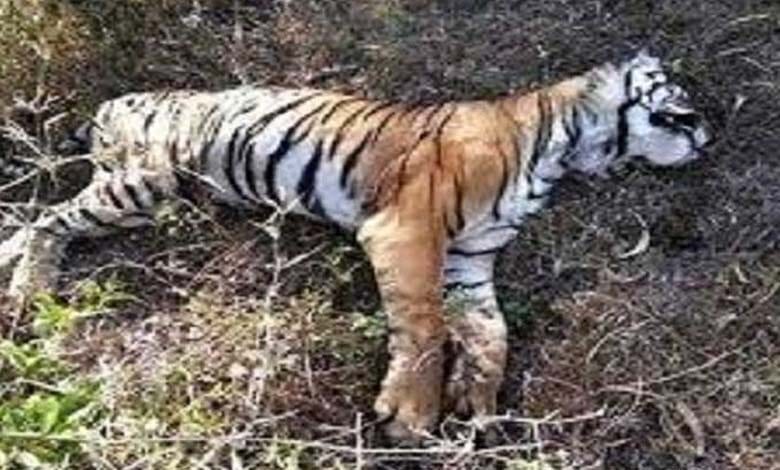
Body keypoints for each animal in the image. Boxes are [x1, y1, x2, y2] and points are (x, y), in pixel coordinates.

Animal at [0, 50, 711, 441]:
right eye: (680, 93)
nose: (707, 133)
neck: (567, 146)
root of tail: (117, 101)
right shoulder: (410, 229)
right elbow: (424, 327)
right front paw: (413, 416)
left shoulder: (470, 260)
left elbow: (490, 336)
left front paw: (476, 407)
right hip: (145, 183)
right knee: (46, 220)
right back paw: (29, 294)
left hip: (136, 189)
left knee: (26, 222)